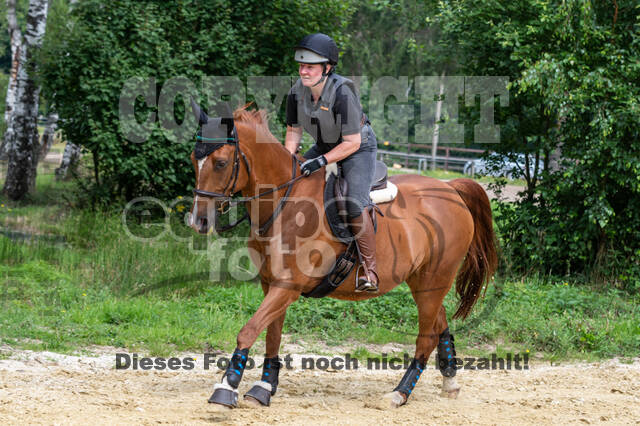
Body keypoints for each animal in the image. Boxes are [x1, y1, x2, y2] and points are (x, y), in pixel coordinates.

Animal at [188, 102, 498, 410]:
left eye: (221, 163)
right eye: (194, 160)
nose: (198, 221)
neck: (284, 203)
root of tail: (450, 188)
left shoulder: (288, 286)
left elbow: (249, 330)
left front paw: (226, 388)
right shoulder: (271, 283)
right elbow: (272, 335)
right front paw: (264, 388)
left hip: (435, 279)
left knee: (427, 337)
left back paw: (399, 393)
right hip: (422, 280)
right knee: (440, 322)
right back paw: (450, 382)